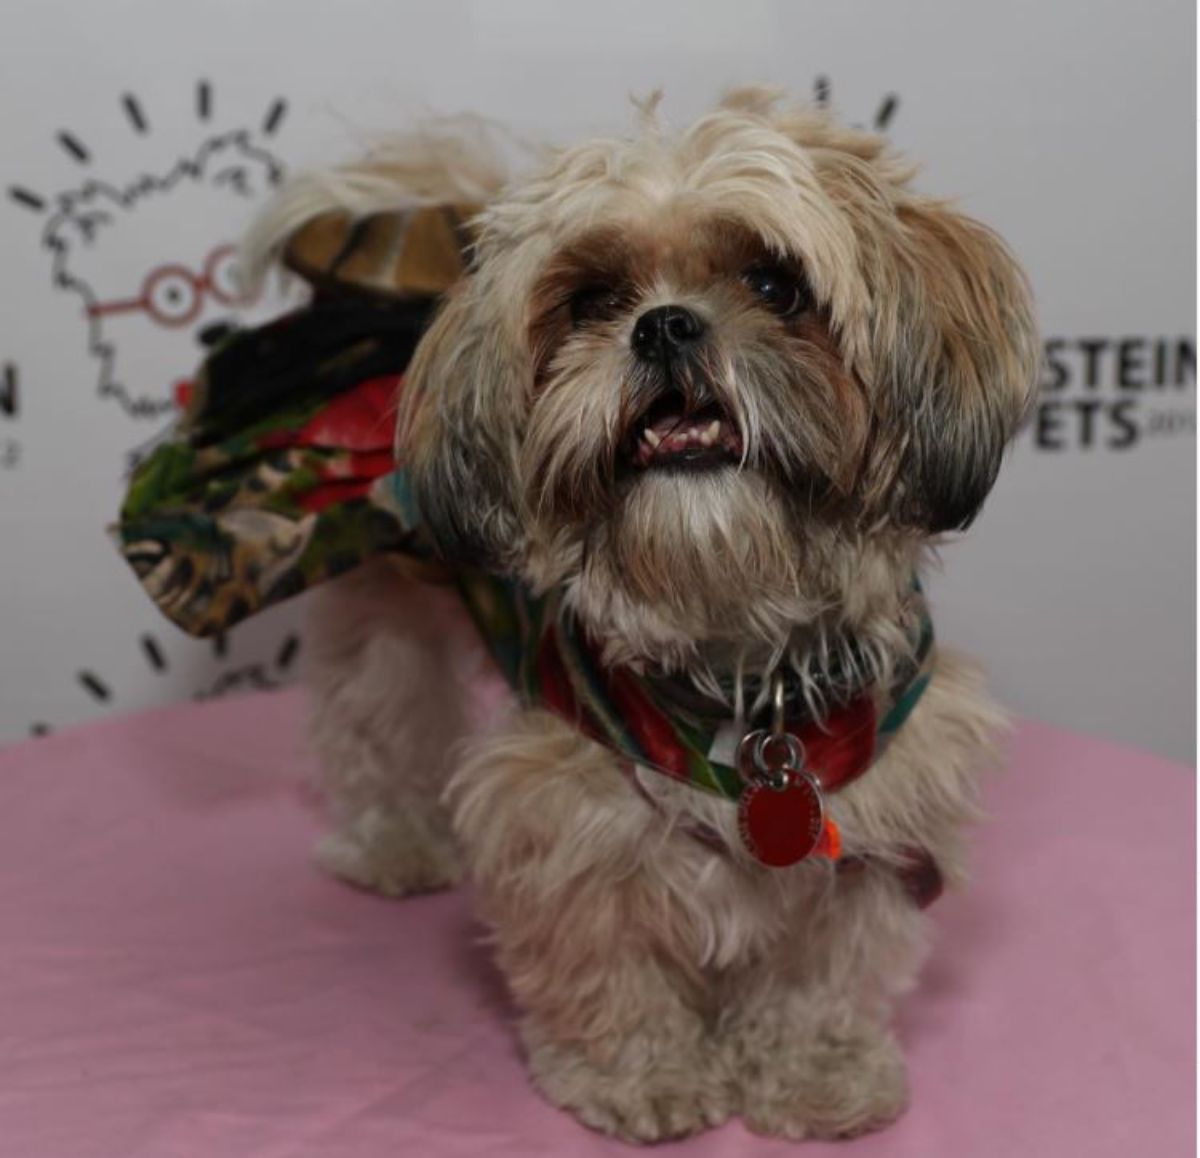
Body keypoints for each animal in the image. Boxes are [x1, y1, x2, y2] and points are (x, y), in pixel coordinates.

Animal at [267, 90, 1036, 1137]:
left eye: (774, 281)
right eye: (592, 302)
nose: (664, 326)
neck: (736, 663)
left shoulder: (879, 806)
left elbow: (826, 962)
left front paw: (812, 1067)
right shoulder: (562, 810)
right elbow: (605, 955)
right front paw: (642, 1070)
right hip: (384, 605)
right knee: (375, 719)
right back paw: (394, 841)